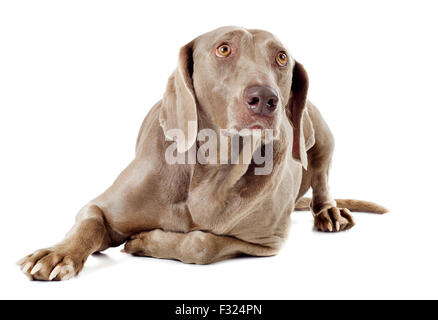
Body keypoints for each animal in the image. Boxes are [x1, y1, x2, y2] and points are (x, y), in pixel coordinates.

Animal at [16, 26, 386, 280]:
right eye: (223, 49)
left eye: (281, 57)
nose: (265, 99)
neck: (210, 171)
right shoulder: (102, 207)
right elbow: (89, 224)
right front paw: (57, 254)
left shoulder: (266, 240)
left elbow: (202, 243)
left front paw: (145, 241)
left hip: (319, 131)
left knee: (322, 177)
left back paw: (329, 212)